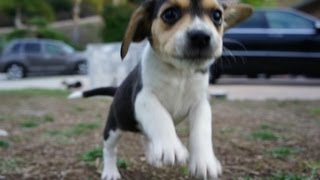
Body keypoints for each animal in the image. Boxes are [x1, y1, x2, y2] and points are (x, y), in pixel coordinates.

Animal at [69, 0, 251, 179]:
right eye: (170, 14)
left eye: (217, 15)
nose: (201, 37)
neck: (179, 72)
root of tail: (117, 89)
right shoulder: (143, 97)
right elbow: (160, 116)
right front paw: (171, 147)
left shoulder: (201, 104)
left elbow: (202, 130)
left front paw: (204, 162)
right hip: (114, 127)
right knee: (109, 149)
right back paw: (111, 171)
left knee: (146, 137)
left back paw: (153, 156)